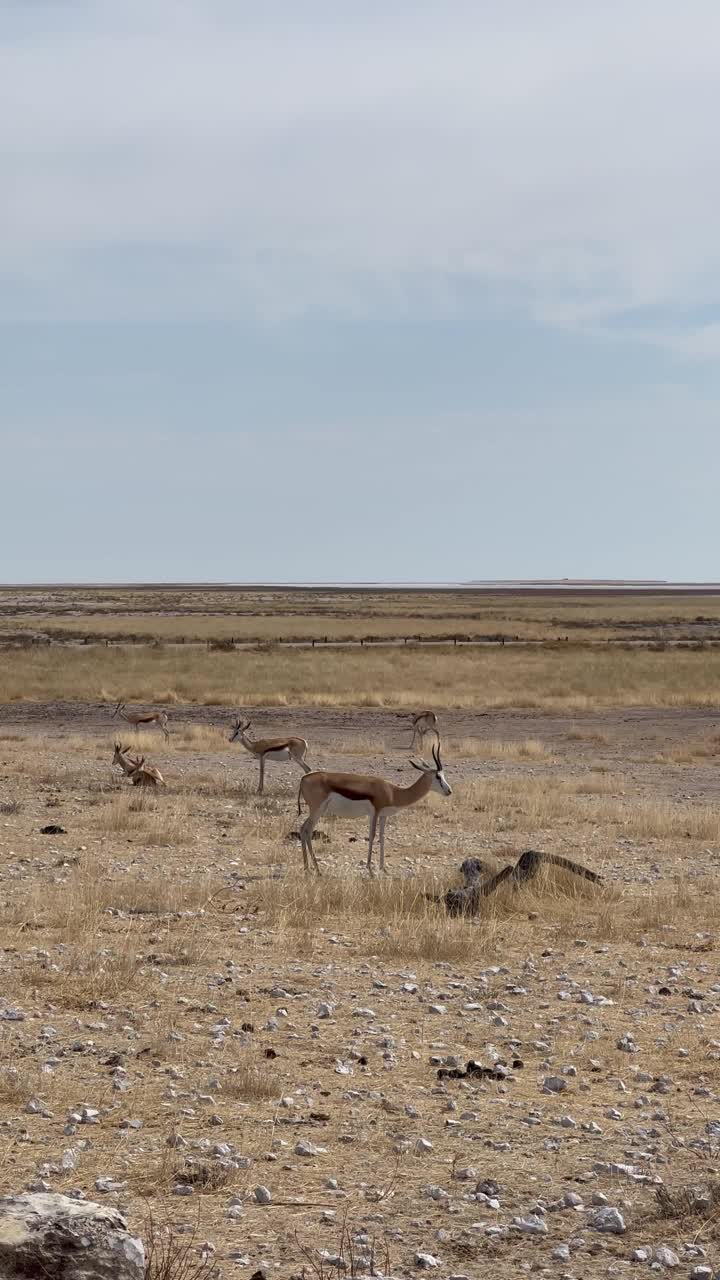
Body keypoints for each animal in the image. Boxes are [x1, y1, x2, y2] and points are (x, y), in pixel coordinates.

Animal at [295, 737, 448, 875]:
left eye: (443, 775)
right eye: (438, 776)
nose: (449, 791)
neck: (393, 792)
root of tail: (304, 778)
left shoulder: (383, 816)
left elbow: (382, 837)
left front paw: (384, 869)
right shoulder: (374, 812)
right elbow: (372, 835)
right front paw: (370, 870)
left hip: (318, 811)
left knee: (304, 830)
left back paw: (309, 868)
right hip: (317, 810)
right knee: (306, 830)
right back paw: (315, 869)